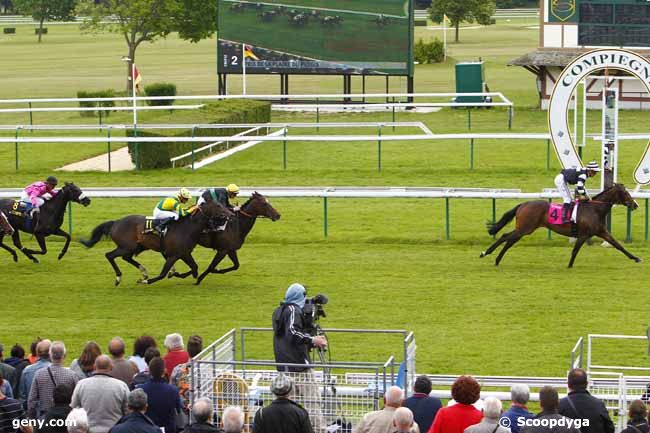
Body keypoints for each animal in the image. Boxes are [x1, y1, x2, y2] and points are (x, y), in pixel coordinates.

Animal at [79, 200, 232, 286]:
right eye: (218, 205)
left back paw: (144, 272)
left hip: (136, 246)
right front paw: (146, 281)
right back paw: (119, 278)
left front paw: (177, 274)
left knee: (126, 257)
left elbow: (194, 268)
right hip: (127, 246)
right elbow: (163, 274)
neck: (187, 227)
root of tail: (115, 222)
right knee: (110, 255)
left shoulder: (184, 253)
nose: (231, 214)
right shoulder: (174, 255)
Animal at [478, 184, 640, 268]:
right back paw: (485, 253)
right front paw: (569, 265)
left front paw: (636, 258)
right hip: (525, 228)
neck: (594, 209)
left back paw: (497, 260)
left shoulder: (602, 232)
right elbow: (575, 251)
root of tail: (523, 204)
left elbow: (618, 245)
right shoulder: (583, 235)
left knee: (509, 241)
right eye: (626, 193)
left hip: (524, 229)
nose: (635, 205)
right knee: (505, 236)